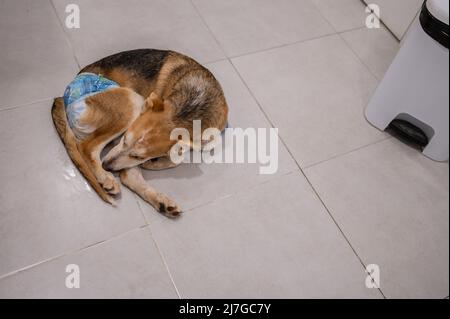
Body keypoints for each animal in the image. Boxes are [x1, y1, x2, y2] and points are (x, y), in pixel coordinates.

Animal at [51, 48, 229, 218]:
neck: (193, 105)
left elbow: (179, 156)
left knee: (127, 176)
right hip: (133, 101)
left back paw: (161, 203)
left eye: (138, 156)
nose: (107, 166)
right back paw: (105, 177)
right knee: (87, 147)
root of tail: (62, 96)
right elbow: (178, 158)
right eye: (124, 139)